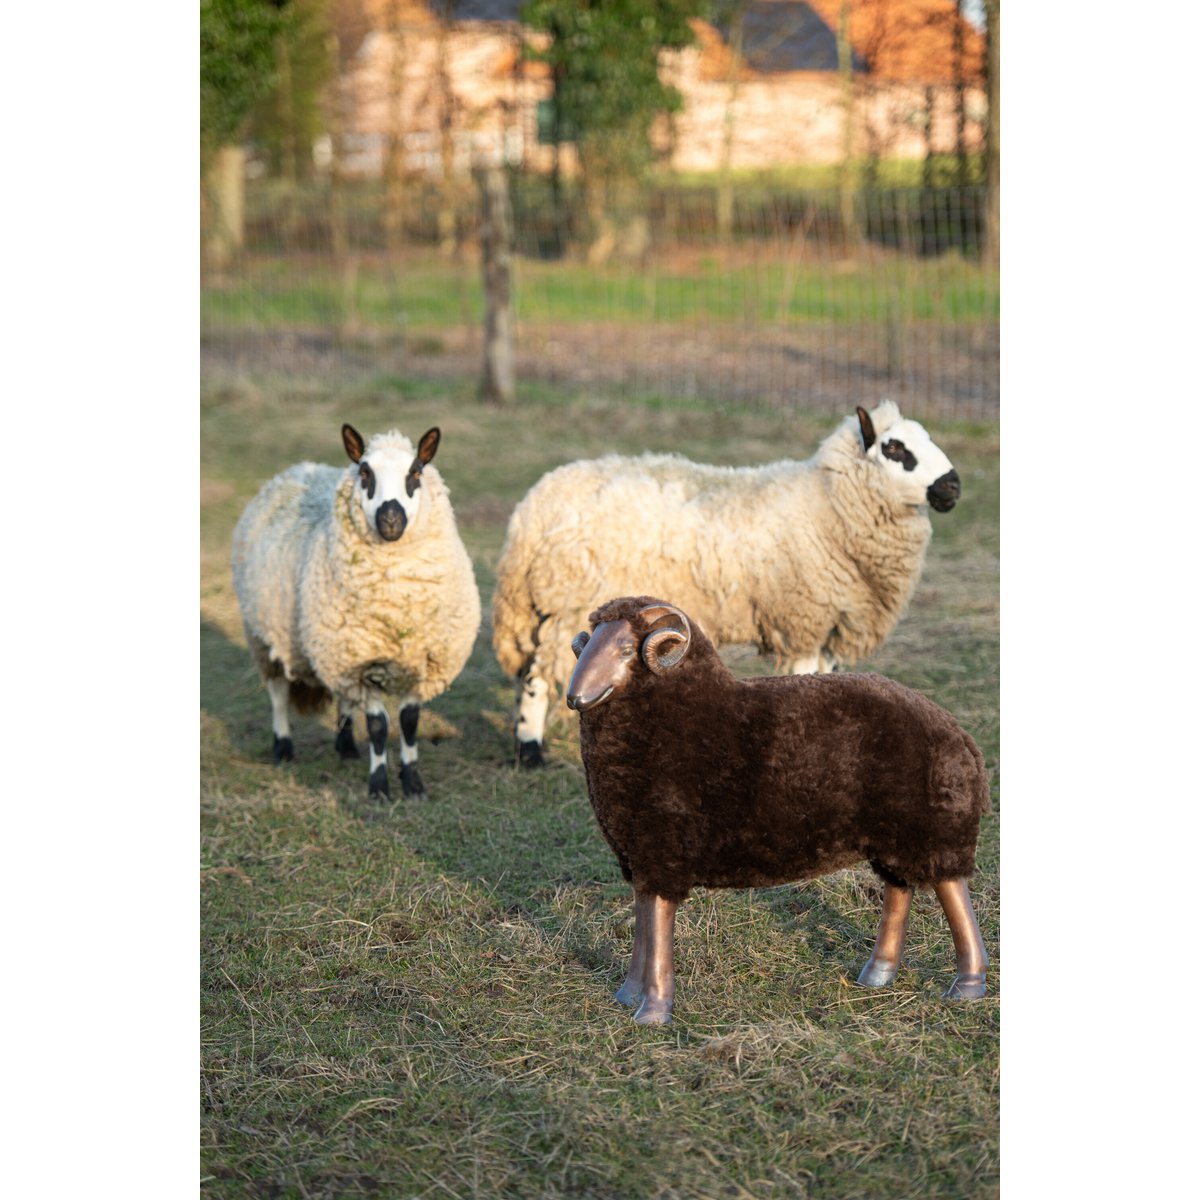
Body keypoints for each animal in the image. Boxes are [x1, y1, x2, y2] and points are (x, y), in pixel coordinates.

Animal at [230, 422, 481, 801]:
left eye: (415, 472)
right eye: (365, 473)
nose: (391, 519)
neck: (396, 604)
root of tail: (297, 468)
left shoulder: (417, 661)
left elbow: (409, 723)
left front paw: (413, 784)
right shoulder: (363, 662)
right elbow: (378, 726)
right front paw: (378, 787)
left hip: (334, 648)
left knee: (343, 697)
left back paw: (346, 746)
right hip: (266, 637)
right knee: (278, 694)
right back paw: (283, 748)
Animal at [492, 400, 961, 768]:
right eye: (895, 448)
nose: (953, 486)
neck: (828, 504)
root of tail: (534, 506)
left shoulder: (829, 621)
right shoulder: (801, 618)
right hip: (571, 599)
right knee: (538, 674)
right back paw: (530, 750)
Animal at [566, 596, 991, 1025]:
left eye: (625, 650)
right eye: (588, 645)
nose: (575, 697)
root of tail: (959, 734)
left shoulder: (663, 853)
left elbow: (656, 927)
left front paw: (653, 1010)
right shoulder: (640, 859)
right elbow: (643, 925)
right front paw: (627, 995)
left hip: (933, 829)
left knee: (952, 891)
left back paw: (968, 984)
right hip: (894, 834)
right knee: (899, 888)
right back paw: (878, 973)